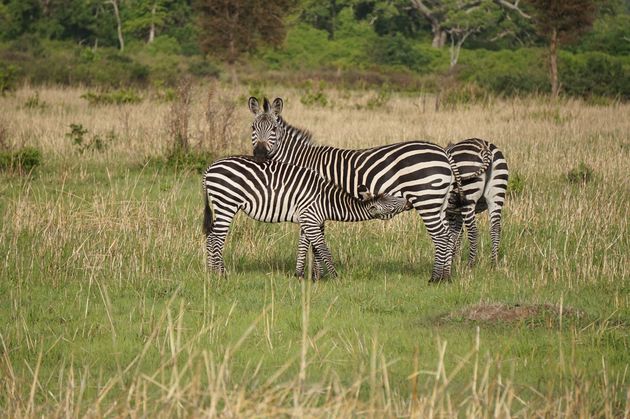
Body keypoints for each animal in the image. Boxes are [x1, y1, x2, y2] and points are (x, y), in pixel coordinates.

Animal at [201, 156, 410, 278]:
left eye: (394, 197)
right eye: (393, 203)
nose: (408, 202)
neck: (327, 201)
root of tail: (210, 167)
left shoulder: (306, 220)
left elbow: (304, 247)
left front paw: (299, 274)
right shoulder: (310, 220)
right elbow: (323, 249)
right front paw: (335, 276)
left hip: (221, 205)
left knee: (211, 237)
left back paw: (211, 272)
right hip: (227, 203)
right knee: (217, 238)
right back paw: (221, 273)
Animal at [249, 97, 462, 284]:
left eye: (274, 129)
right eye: (252, 128)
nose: (259, 156)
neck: (300, 161)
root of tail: (443, 153)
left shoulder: (312, 202)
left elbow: (310, 240)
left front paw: (312, 275)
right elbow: (309, 239)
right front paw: (309, 274)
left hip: (426, 198)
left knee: (440, 236)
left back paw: (435, 278)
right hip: (439, 201)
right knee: (449, 235)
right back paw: (446, 277)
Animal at [446, 139, 512, 268]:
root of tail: (484, 147)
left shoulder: (450, 213)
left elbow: (452, 235)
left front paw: (452, 260)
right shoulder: (457, 213)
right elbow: (458, 234)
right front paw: (455, 260)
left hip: (468, 196)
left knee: (473, 231)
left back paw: (470, 264)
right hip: (497, 194)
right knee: (495, 228)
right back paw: (494, 263)